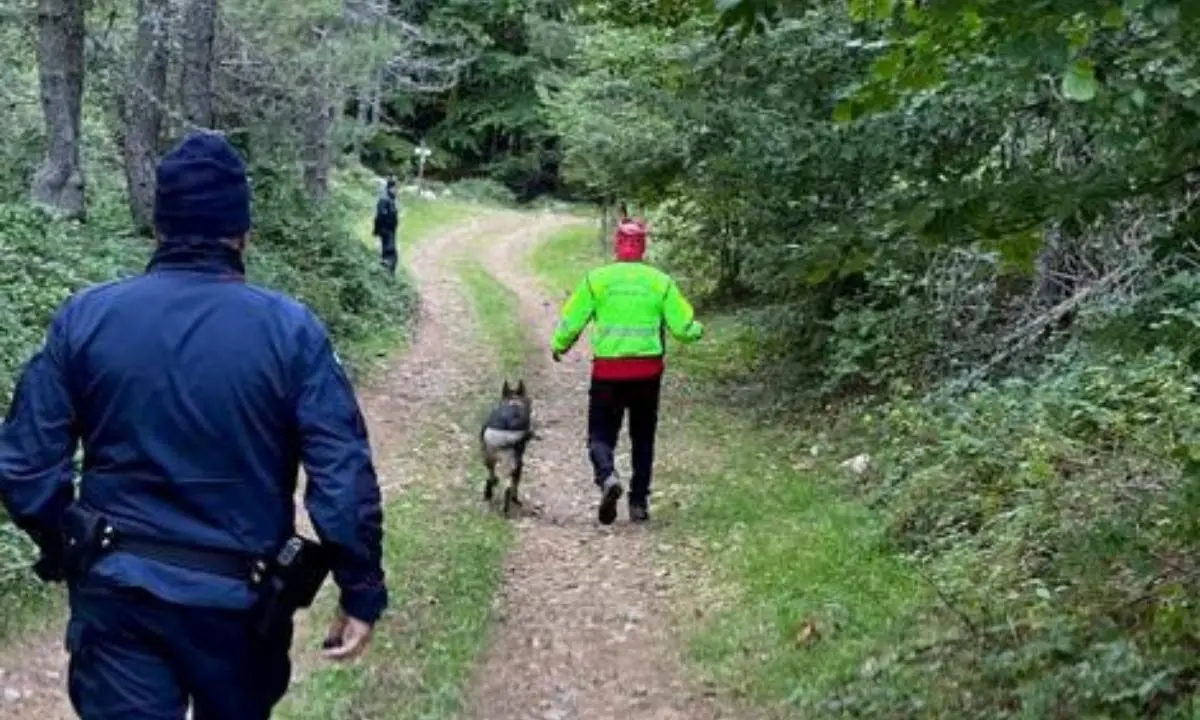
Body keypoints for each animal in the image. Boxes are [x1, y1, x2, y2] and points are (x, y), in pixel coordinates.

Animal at [480, 379, 532, 513]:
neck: (514, 402)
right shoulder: (519, 463)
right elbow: (515, 484)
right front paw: (516, 500)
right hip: (508, 462)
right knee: (507, 487)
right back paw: (505, 509)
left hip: (489, 457)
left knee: (492, 477)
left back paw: (488, 494)